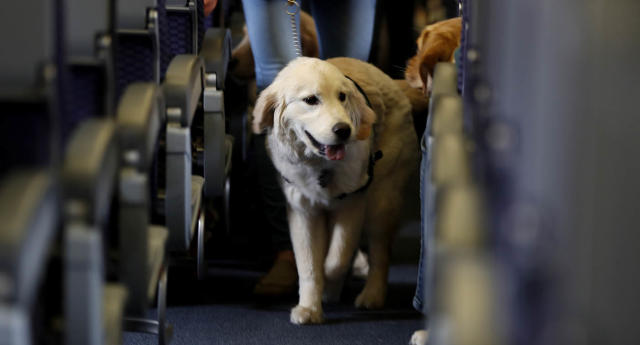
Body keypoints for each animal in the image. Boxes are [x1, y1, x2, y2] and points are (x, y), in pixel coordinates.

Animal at [250, 56, 420, 322]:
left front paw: (329, 284)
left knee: (380, 253)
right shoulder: (303, 211)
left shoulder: (352, 203)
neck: (321, 166)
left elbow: (336, 258)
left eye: (342, 97)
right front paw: (309, 308)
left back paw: (372, 295)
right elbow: (309, 264)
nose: (344, 130)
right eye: (311, 100)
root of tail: (392, 82)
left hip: (382, 201)